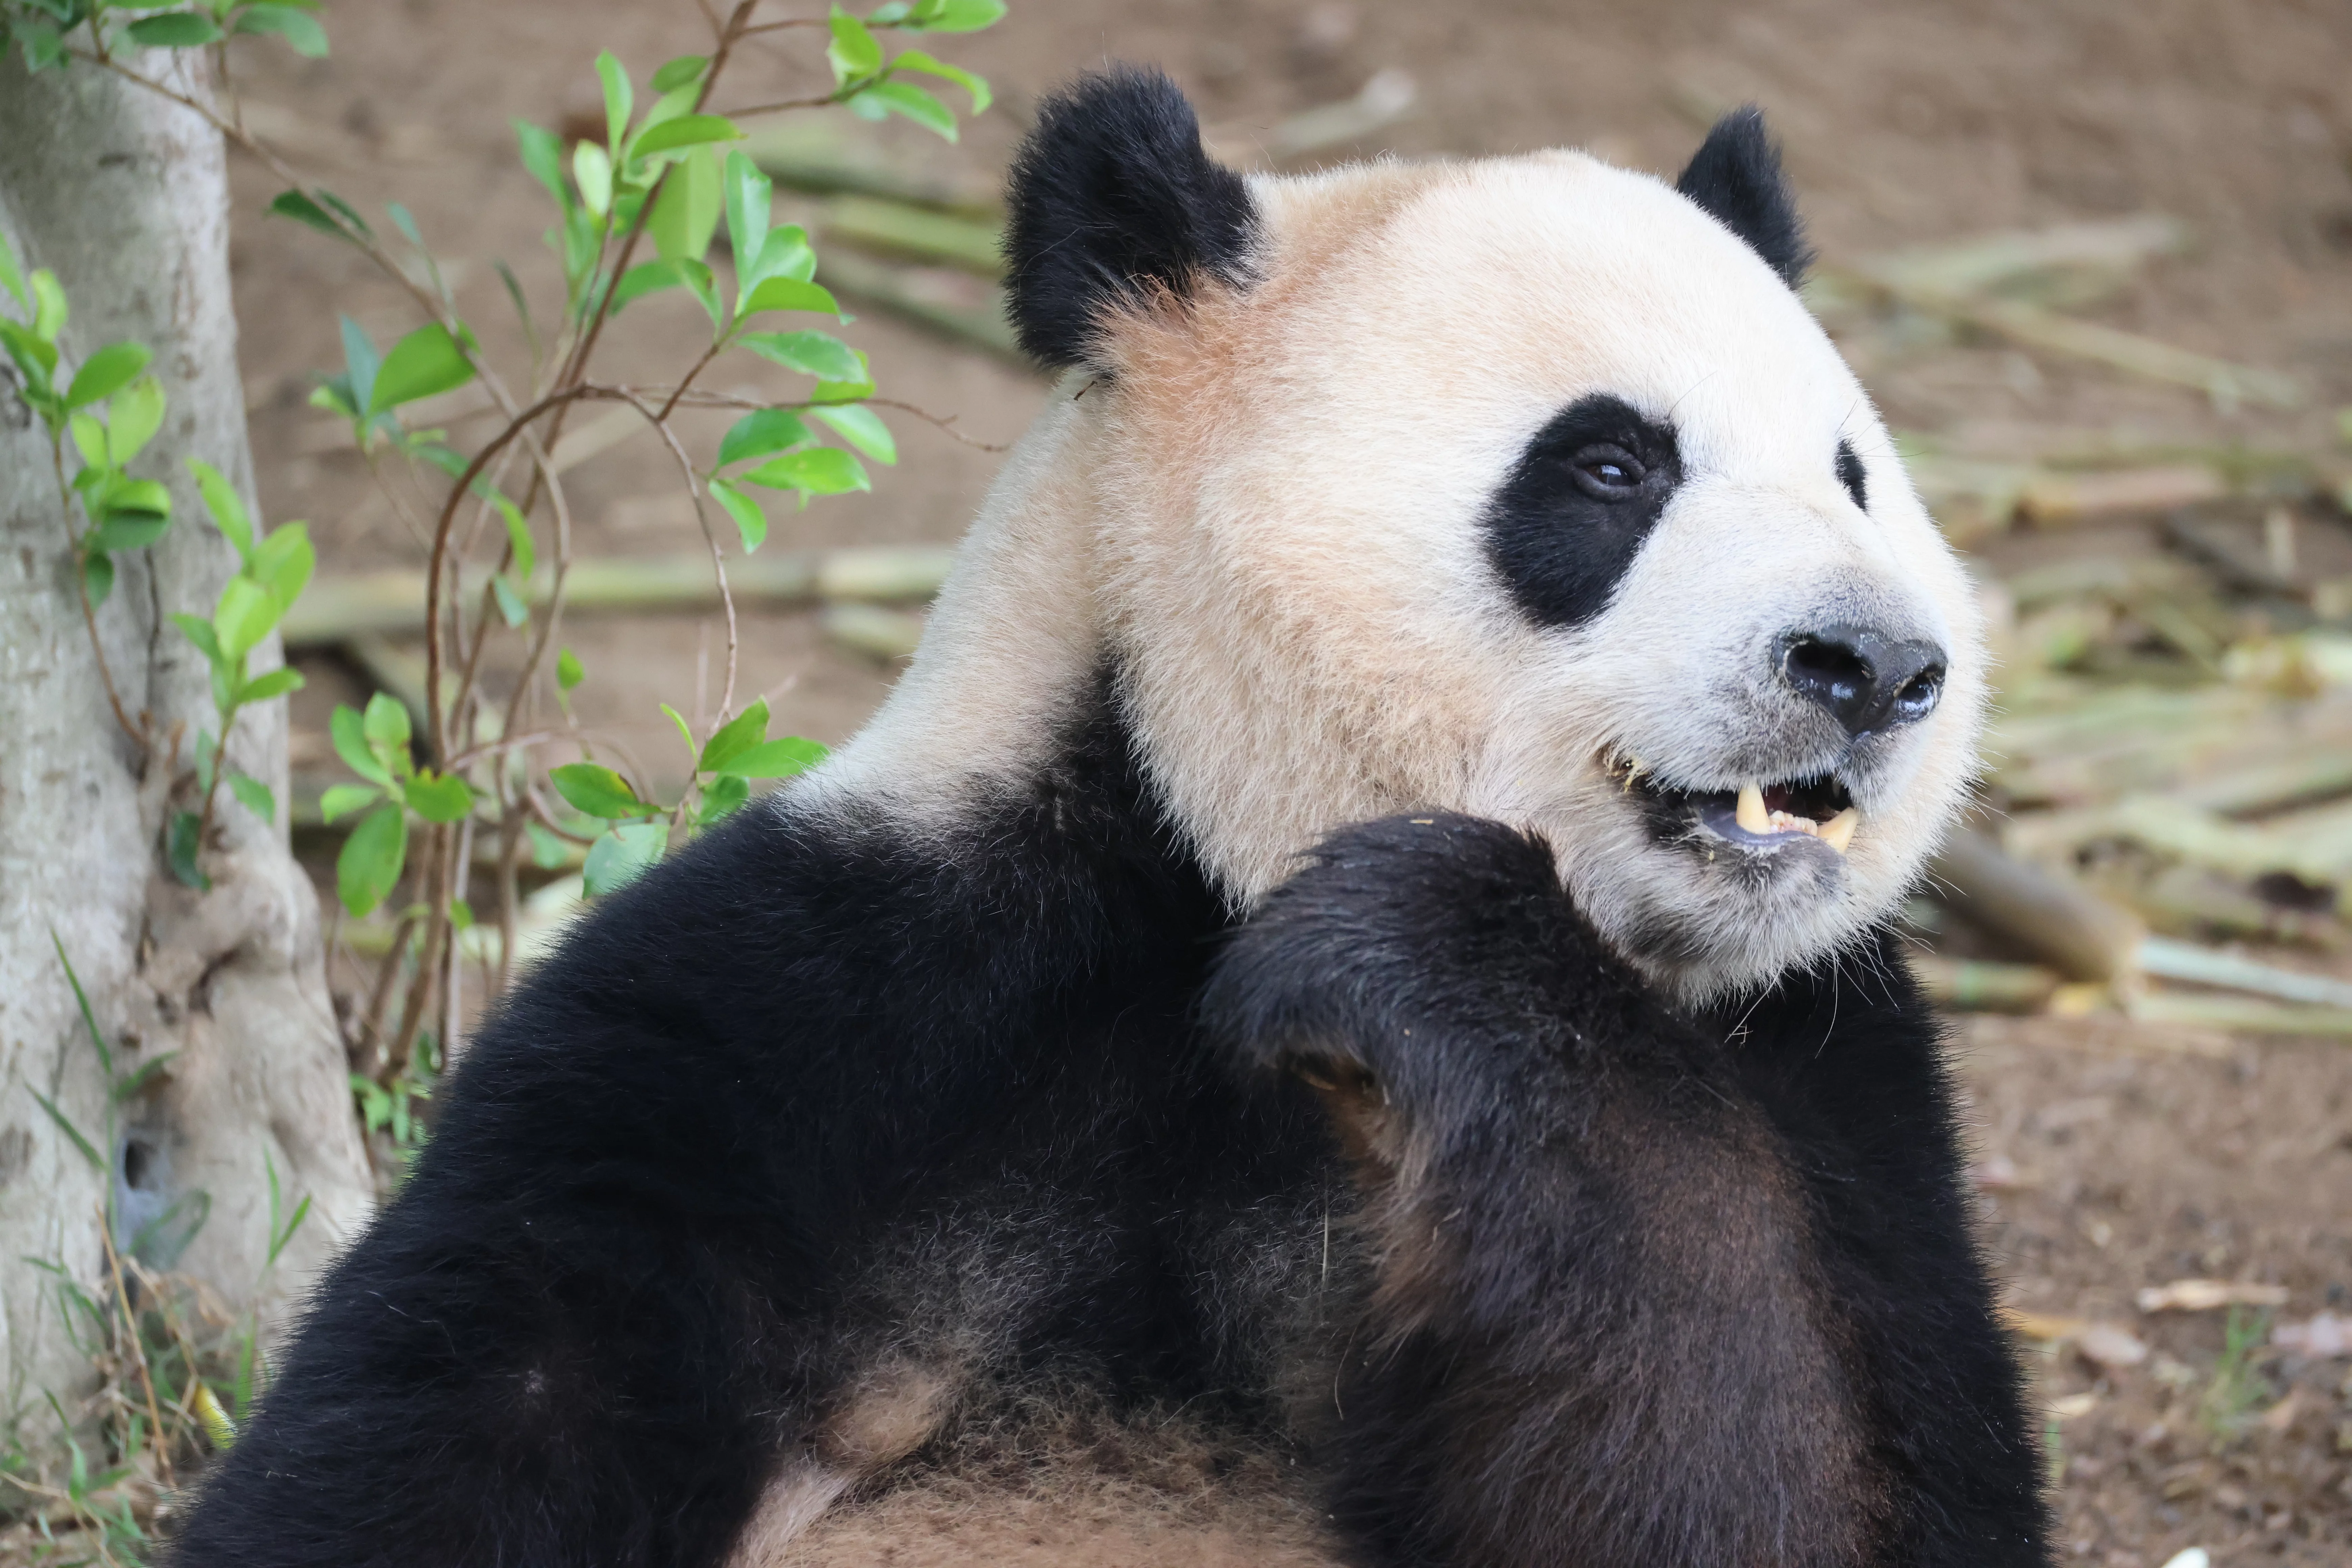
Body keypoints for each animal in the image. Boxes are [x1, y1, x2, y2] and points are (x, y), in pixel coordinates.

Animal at [174, 68, 2050, 1568]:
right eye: (1610, 466)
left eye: (1852, 475)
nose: (1876, 665)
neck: (1215, 881)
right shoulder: (810, 1001)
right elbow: (474, 1407)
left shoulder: (1831, 1081)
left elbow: (1791, 1479)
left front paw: (1421, 947)